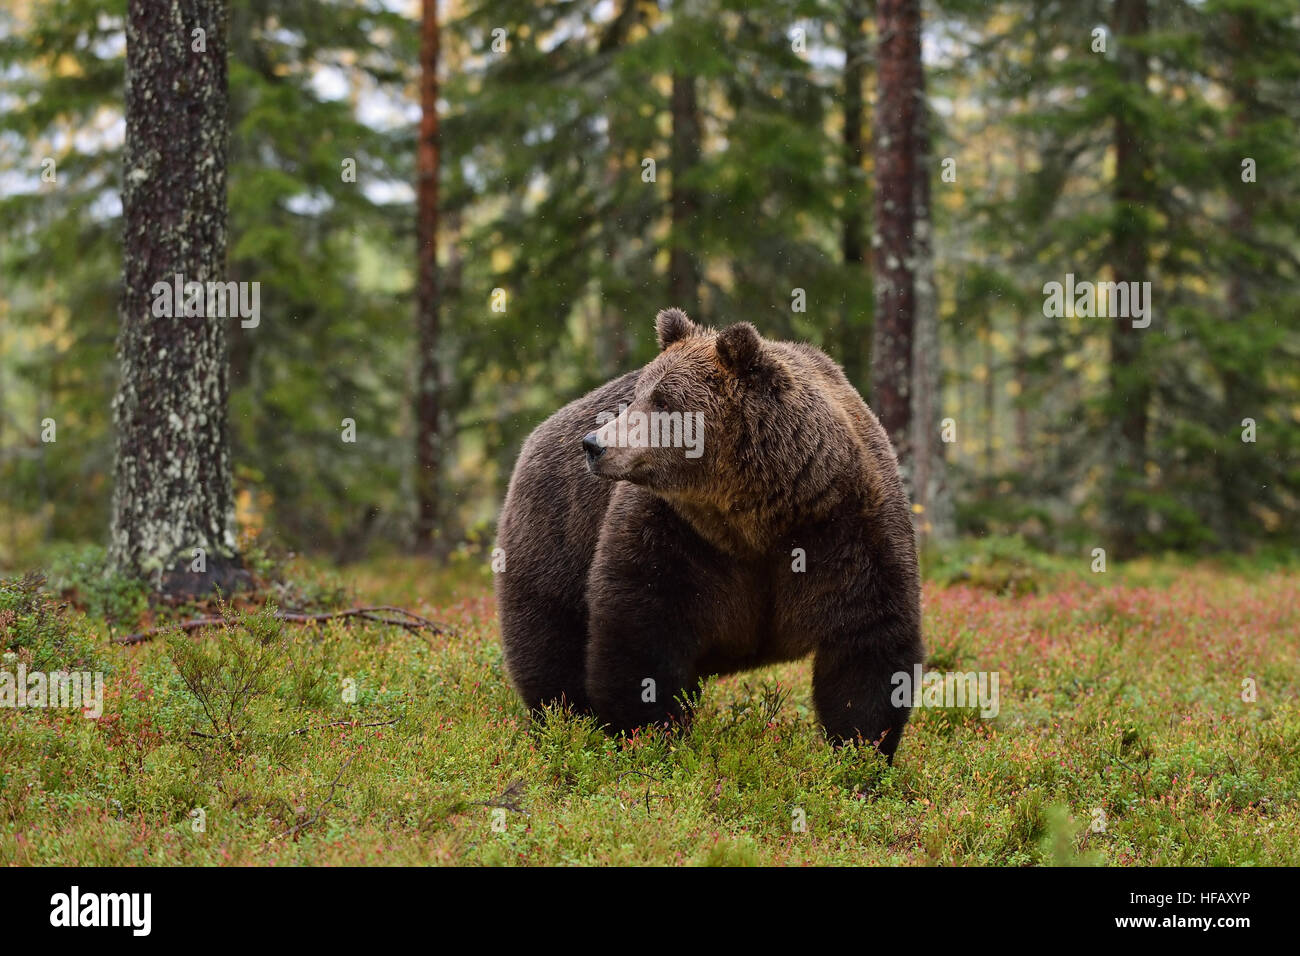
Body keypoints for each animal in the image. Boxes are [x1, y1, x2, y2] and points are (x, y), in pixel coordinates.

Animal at [495, 308, 923, 759]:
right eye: (637, 396)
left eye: (663, 401)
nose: (594, 444)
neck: (756, 514)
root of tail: (536, 436)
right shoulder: (676, 535)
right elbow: (640, 629)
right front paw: (648, 735)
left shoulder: (846, 528)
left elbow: (868, 640)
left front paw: (861, 752)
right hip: (554, 533)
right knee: (550, 645)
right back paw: (561, 722)